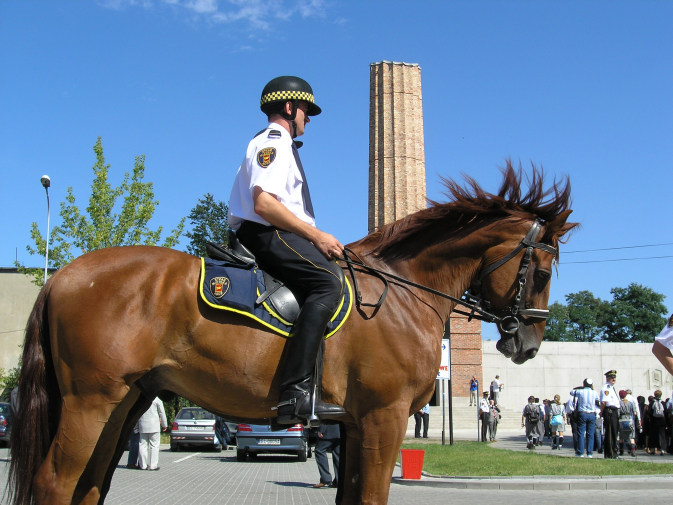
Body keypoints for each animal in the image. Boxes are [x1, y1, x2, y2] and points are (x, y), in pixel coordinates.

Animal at [7, 162, 576, 504]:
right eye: (543, 272)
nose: (526, 345)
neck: (400, 292)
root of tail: (62, 274)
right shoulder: (384, 417)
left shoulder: (355, 425)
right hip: (91, 400)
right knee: (57, 482)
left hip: (124, 401)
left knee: (89, 485)